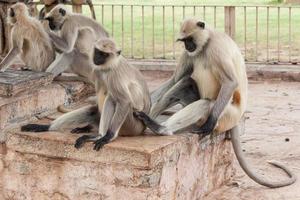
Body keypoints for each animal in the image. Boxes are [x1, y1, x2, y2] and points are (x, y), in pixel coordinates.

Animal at [21, 37, 151, 151]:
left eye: (105, 54)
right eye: (98, 52)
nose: (97, 57)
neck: (107, 67)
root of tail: (141, 128)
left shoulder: (114, 74)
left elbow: (124, 101)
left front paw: (108, 137)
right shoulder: (97, 70)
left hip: (131, 123)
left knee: (112, 99)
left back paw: (100, 135)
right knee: (91, 111)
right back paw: (46, 127)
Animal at [135, 18, 296, 188]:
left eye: (190, 39)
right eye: (184, 41)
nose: (188, 46)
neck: (206, 41)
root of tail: (237, 119)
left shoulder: (216, 47)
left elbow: (230, 82)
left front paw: (209, 123)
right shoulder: (189, 53)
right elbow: (174, 80)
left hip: (226, 116)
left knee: (206, 104)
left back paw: (161, 128)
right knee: (185, 81)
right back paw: (150, 120)